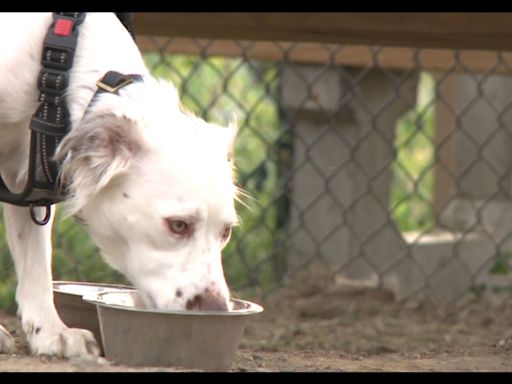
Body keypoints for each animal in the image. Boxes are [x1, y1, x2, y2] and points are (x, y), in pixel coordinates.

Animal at [0, 12, 238, 360]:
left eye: (226, 232)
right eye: (178, 225)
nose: (215, 309)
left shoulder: (26, 180)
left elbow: (36, 261)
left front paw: (52, 333)